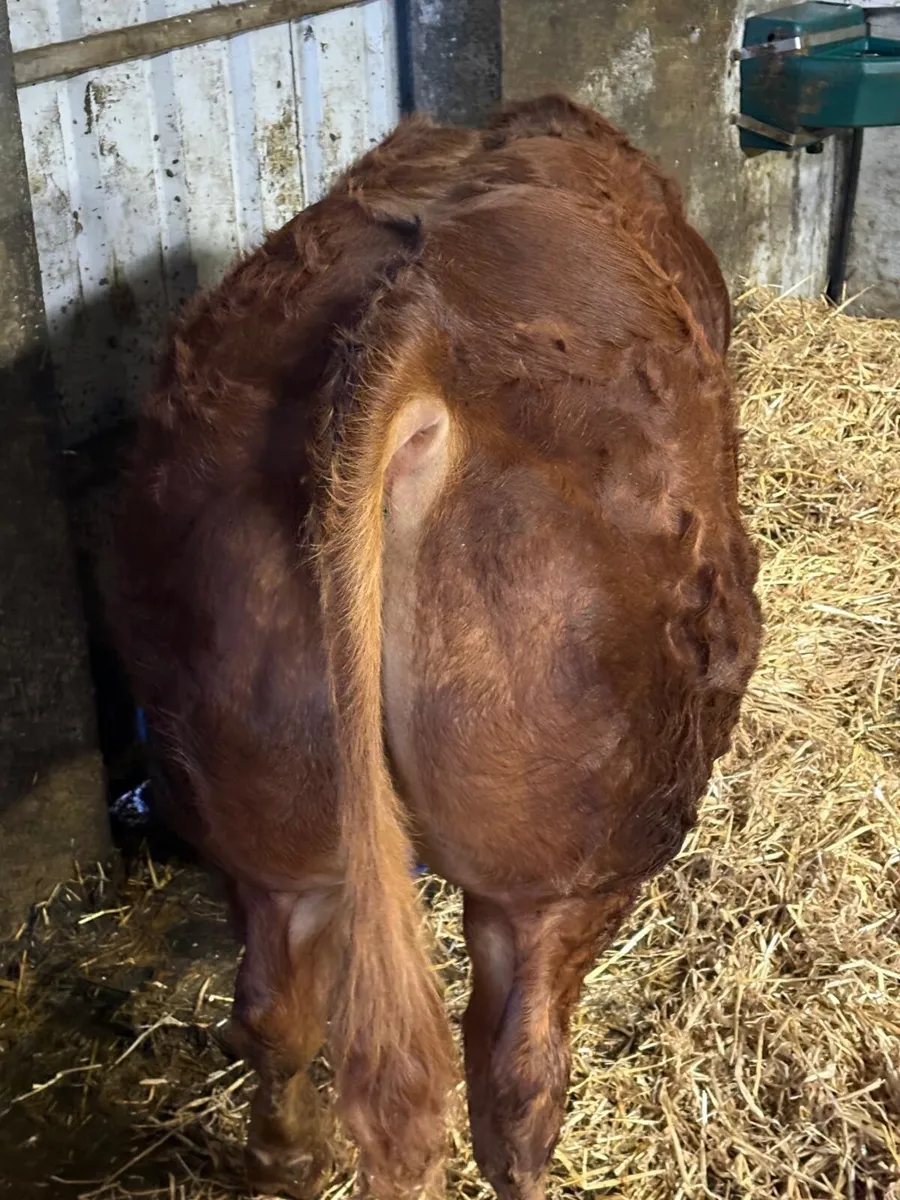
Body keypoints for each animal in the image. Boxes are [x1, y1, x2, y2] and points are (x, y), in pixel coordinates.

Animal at [109, 95, 762, 1200]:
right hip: (568, 854)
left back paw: (291, 1155)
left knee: (276, 1011)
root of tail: (412, 332)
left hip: (260, 793)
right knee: (515, 1077)